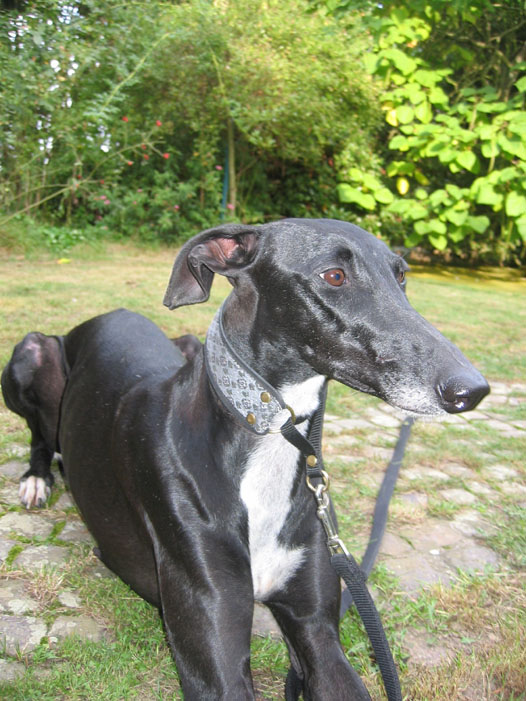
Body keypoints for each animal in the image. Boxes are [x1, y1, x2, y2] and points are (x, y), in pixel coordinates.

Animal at [2, 219, 489, 699]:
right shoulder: (215, 653)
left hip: (184, 343)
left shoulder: (318, 631)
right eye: (334, 276)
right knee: (40, 436)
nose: (472, 389)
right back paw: (37, 479)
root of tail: (109, 314)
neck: (266, 439)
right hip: (31, 352)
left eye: (401, 276)